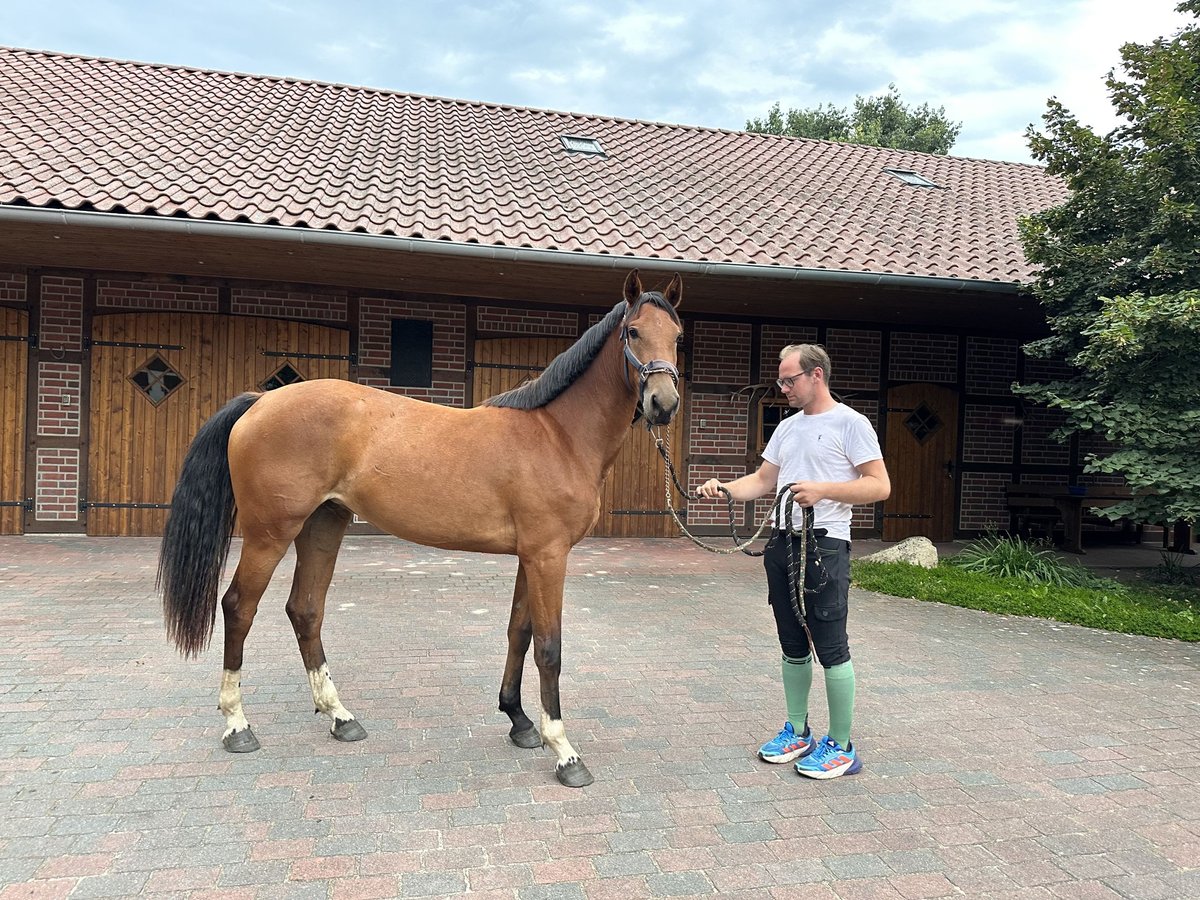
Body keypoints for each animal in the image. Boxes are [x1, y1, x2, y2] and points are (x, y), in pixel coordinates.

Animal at [157, 270, 686, 787]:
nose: (663, 402)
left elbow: (519, 632)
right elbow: (549, 648)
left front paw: (518, 721)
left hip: (323, 525)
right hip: (271, 532)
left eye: (678, 336)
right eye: (633, 332)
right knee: (239, 608)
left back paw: (340, 716)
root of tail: (259, 401)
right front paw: (564, 751)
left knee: (305, 610)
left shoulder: (531, 556)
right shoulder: (548, 556)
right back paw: (238, 725)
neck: (557, 435)